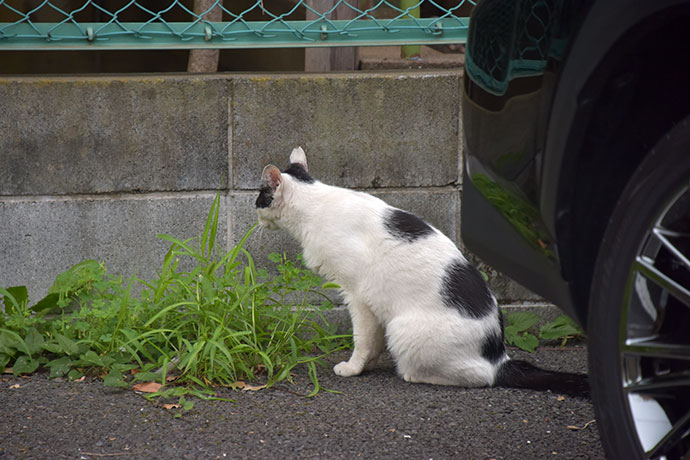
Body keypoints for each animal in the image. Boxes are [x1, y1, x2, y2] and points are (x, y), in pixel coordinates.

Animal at [255, 149, 588, 398]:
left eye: (259, 197)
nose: (255, 215)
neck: (314, 206)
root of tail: (498, 357)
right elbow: (372, 342)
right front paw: (368, 364)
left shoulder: (358, 297)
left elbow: (362, 338)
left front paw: (353, 367)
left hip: (403, 329)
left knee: (479, 378)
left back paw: (413, 374)